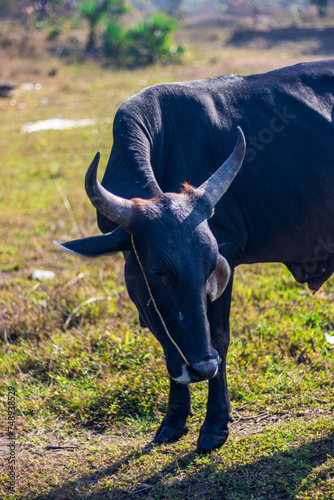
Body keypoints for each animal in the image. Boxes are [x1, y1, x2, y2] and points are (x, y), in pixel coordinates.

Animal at [54, 60, 334, 456]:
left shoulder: (227, 258)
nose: (202, 368)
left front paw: (215, 424)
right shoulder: (134, 273)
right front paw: (174, 419)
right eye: (158, 271)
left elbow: (219, 336)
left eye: (210, 264)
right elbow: (167, 342)